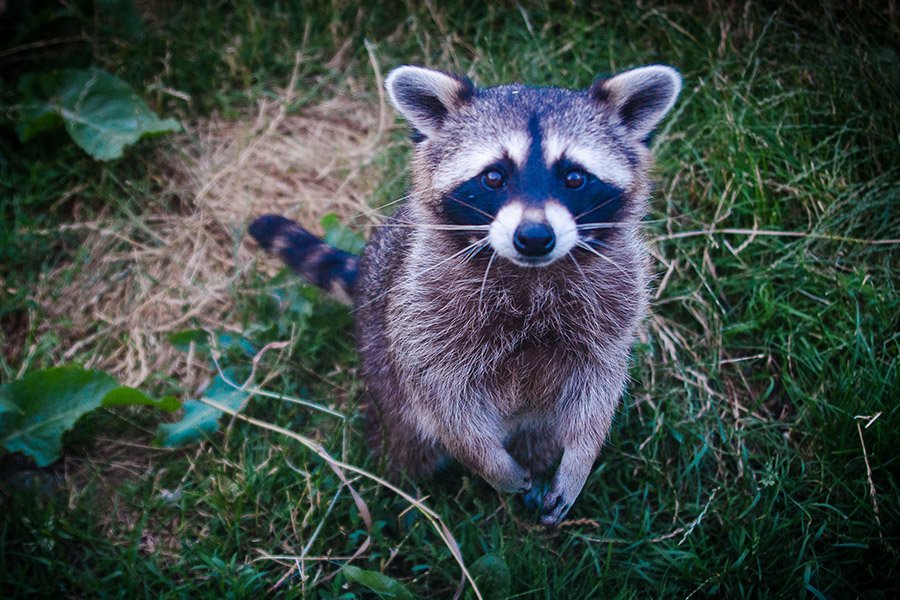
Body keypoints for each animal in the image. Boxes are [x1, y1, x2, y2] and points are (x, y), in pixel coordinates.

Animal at [249, 64, 681, 525]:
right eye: (493, 177)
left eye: (574, 177)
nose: (534, 237)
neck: (529, 273)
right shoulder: (423, 313)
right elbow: (443, 402)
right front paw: (490, 463)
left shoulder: (614, 304)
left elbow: (599, 389)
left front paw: (581, 457)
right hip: (380, 358)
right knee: (405, 441)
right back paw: (401, 490)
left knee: (541, 434)